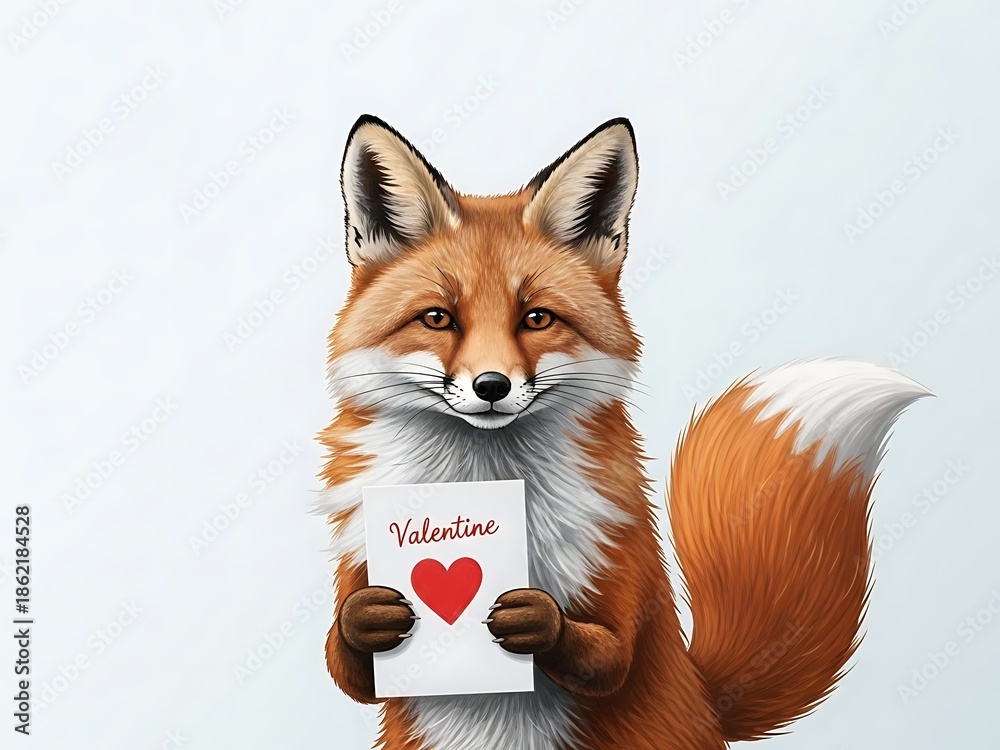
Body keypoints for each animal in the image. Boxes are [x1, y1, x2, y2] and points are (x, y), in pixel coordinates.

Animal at [318, 114, 931, 749]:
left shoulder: (622, 572)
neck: (486, 484)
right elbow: (345, 665)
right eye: (438, 318)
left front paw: (536, 618)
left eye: (536, 318)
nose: (491, 385)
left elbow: (609, 657)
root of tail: (706, 698)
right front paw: (367, 618)